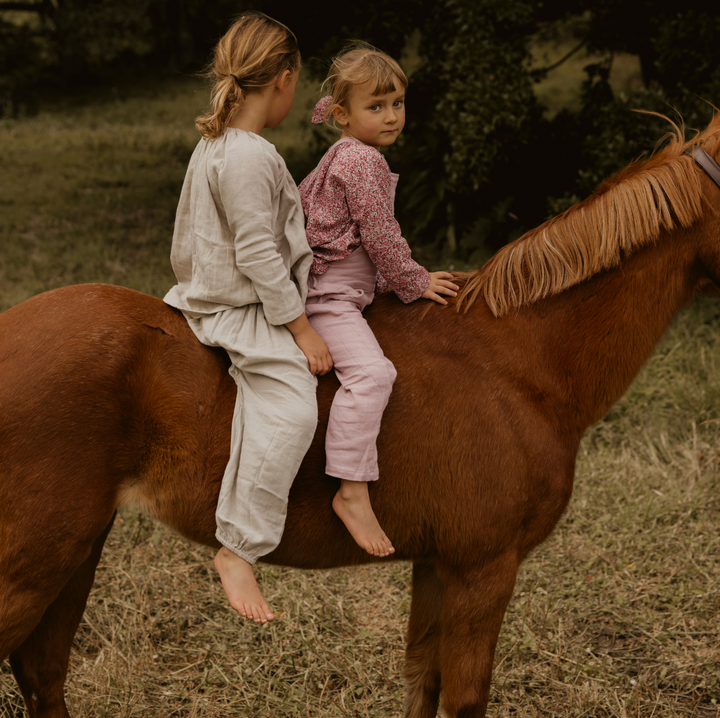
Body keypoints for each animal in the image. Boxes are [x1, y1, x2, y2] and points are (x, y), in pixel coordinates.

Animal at [1, 114, 720, 718]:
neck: (518, 359)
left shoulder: (438, 565)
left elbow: (422, 681)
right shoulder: (483, 570)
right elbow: (464, 698)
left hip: (77, 548)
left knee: (43, 672)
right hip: (39, 557)